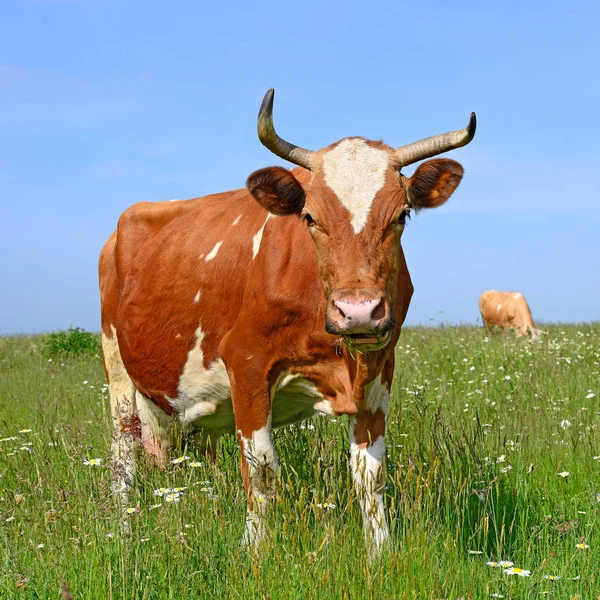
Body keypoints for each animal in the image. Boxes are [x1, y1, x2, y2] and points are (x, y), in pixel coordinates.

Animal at [98, 89, 476, 552]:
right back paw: (121, 535)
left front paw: (380, 555)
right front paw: (255, 553)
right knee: (123, 459)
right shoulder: (246, 364)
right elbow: (262, 470)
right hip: (118, 371)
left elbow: (371, 475)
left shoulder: (379, 369)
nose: (358, 311)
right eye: (310, 218)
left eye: (402, 215)